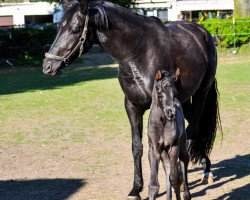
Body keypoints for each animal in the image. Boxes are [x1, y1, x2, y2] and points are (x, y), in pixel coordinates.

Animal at [147, 69, 190, 199]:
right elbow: (153, 186)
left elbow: (175, 179)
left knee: (183, 161)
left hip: (181, 144)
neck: (161, 123)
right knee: (167, 167)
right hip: (163, 153)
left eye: (175, 92)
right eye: (159, 93)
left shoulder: (173, 147)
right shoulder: (154, 149)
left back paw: (186, 194)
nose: (171, 113)